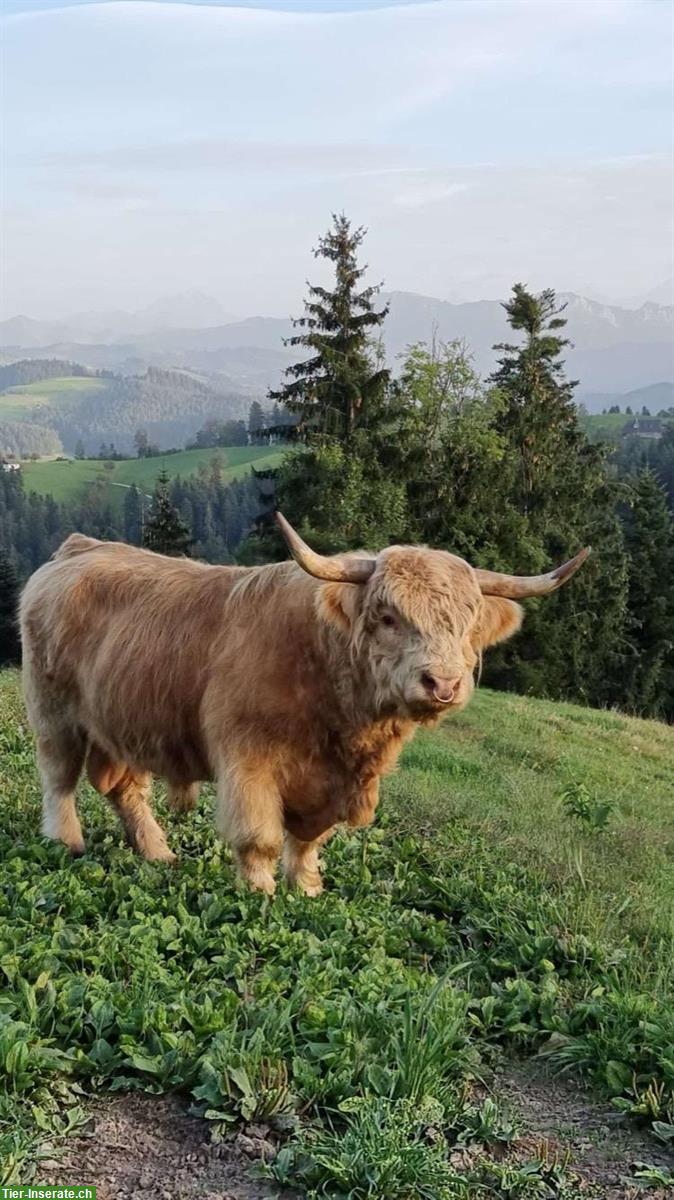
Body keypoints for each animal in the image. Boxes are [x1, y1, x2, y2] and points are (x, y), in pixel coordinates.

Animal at [19, 511, 587, 897]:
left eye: (467, 624)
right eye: (387, 617)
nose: (442, 682)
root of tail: (79, 547)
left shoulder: (333, 784)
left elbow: (310, 836)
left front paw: (307, 887)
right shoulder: (248, 758)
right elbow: (260, 836)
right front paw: (260, 891)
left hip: (124, 718)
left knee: (123, 787)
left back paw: (158, 853)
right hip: (55, 711)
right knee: (59, 777)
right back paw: (66, 840)